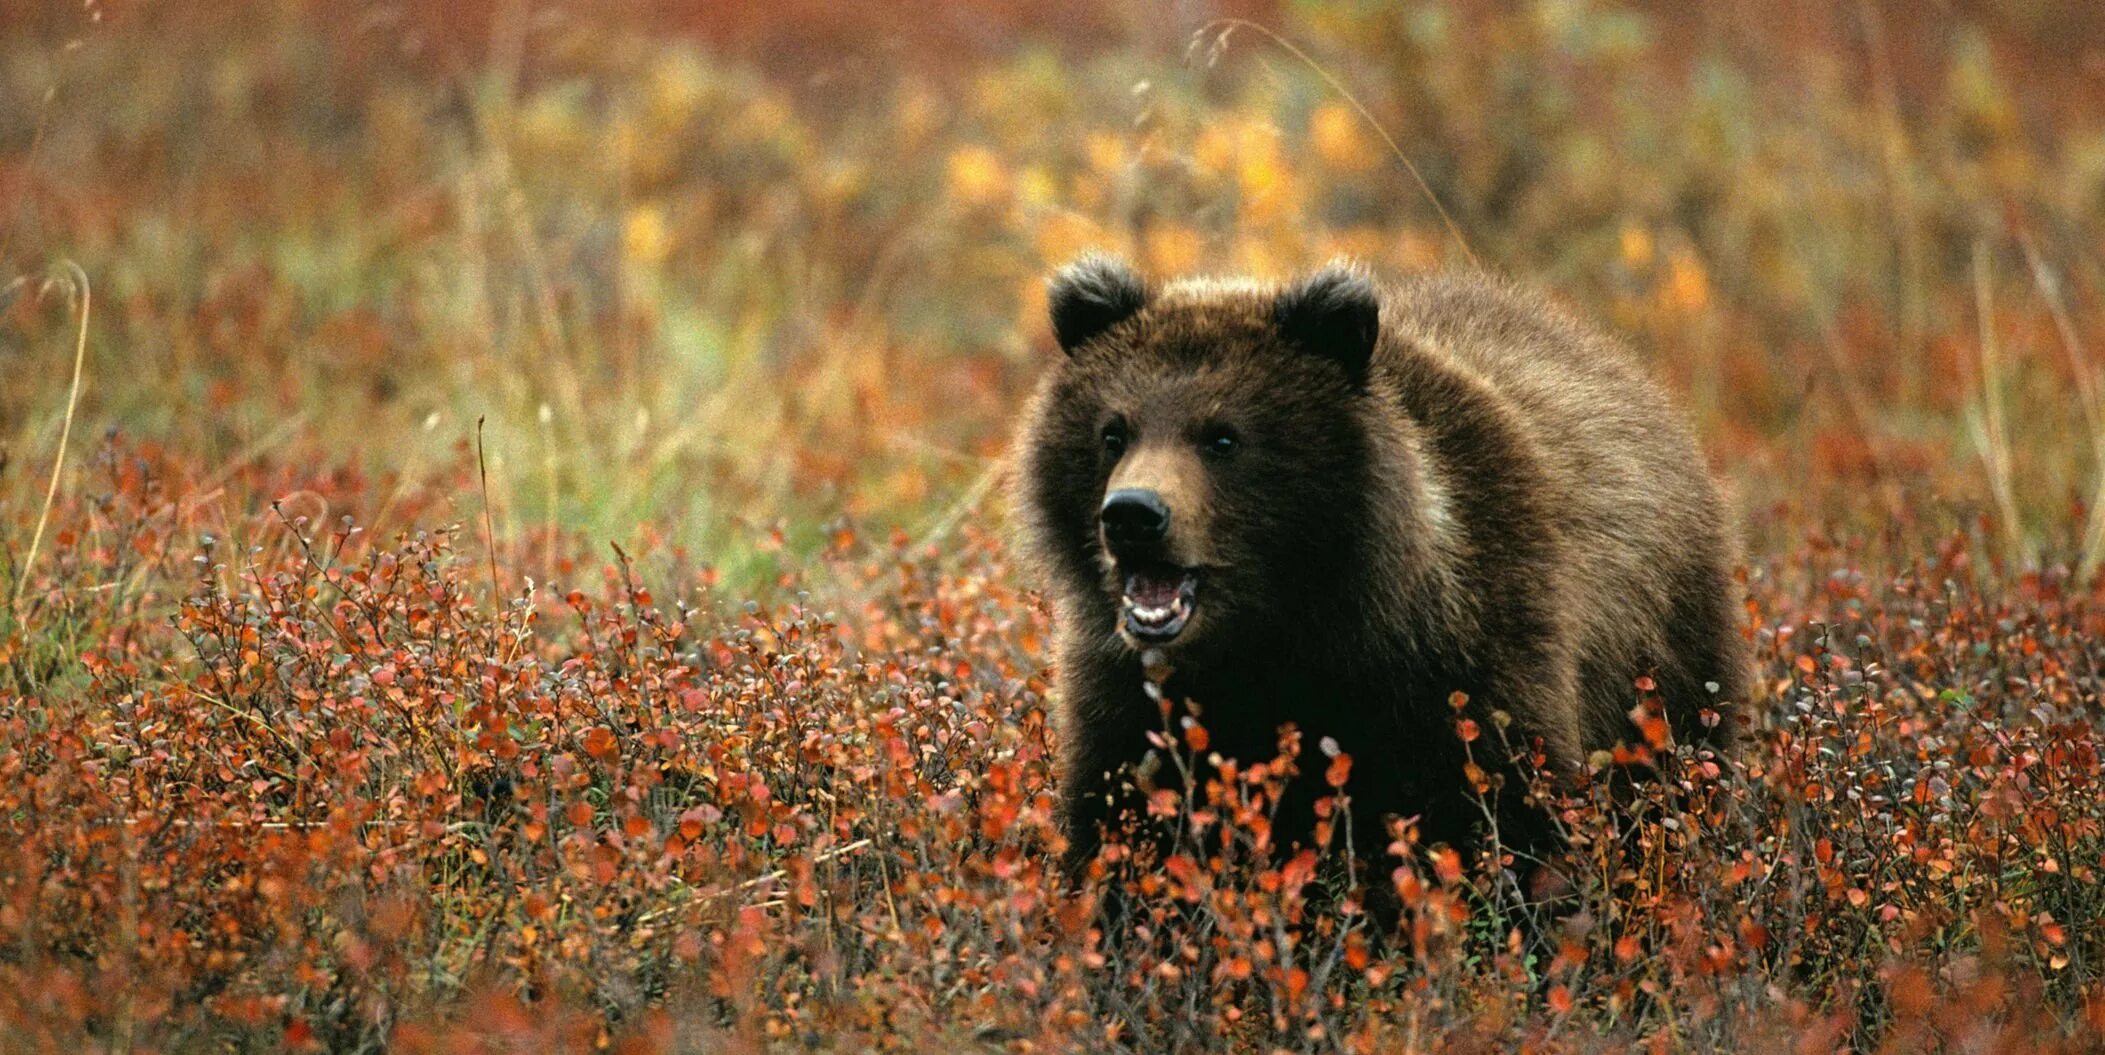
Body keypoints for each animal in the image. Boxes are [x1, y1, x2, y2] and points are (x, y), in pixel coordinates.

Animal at [1010, 254, 1751, 888]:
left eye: (1222, 436)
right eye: (1113, 430)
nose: (1132, 515)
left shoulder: (1463, 675)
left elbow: (1508, 832)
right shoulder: (1129, 698)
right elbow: (1119, 831)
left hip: (1665, 668)